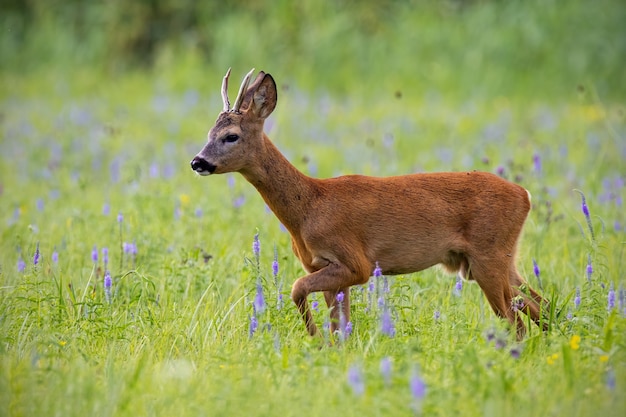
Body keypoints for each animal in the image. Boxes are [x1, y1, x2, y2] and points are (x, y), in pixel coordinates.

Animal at [190, 68, 544, 340]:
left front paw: (314, 338)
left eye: (231, 136)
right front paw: (331, 347)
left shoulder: (354, 262)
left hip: (488, 256)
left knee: (517, 322)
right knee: (539, 303)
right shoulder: (323, 266)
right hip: (489, 260)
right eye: (208, 133)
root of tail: (524, 194)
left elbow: (296, 288)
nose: (197, 162)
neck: (308, 208)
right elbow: (339, 324)